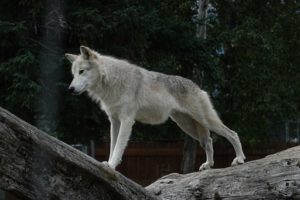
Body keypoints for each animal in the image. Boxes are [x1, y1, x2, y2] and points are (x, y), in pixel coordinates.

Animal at [65, 46, 246, 170]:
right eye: (73, 74)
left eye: (82, 71)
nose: (70, 89)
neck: (111, 80)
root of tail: (197, 86)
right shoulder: (114, 121)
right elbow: (112, 147)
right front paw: (108, 164)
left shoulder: (127, 120)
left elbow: (118, 147)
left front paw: (111, 165)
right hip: (188, 127)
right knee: (208, 141)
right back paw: (208, 165)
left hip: (205, 121)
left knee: (233, 134)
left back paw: (240, 159)